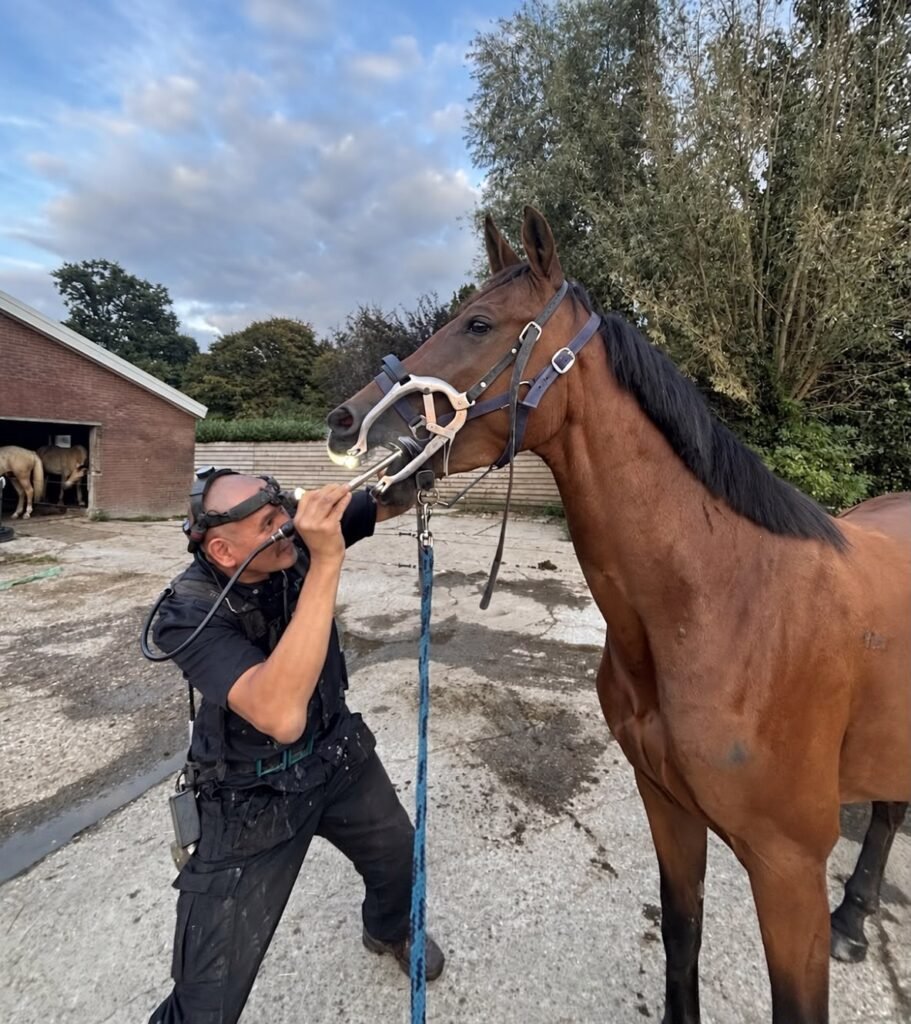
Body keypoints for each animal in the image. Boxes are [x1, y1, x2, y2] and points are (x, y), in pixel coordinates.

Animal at [326, 207, 910, 1024]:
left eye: (478, 324)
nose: (343, 422)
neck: (723, 606)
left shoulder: (788, 867)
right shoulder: (665, 805)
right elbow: (681, 934)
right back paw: (855, 917)